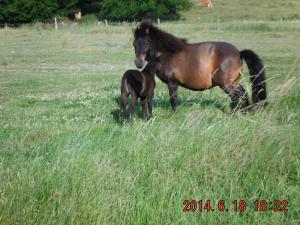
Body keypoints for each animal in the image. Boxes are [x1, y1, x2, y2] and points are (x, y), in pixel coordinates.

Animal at [134, 21, 268, 112]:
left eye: (146, 42)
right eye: (134, 43)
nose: (138, 63)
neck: (168, 53)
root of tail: (238, 53)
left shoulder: (172, 83)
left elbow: (173, 99)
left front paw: (175, 113)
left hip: (226, 84)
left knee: (236, 97)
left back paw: (233, 113)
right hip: (234, 82)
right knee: (243, 93)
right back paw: (245, 111)